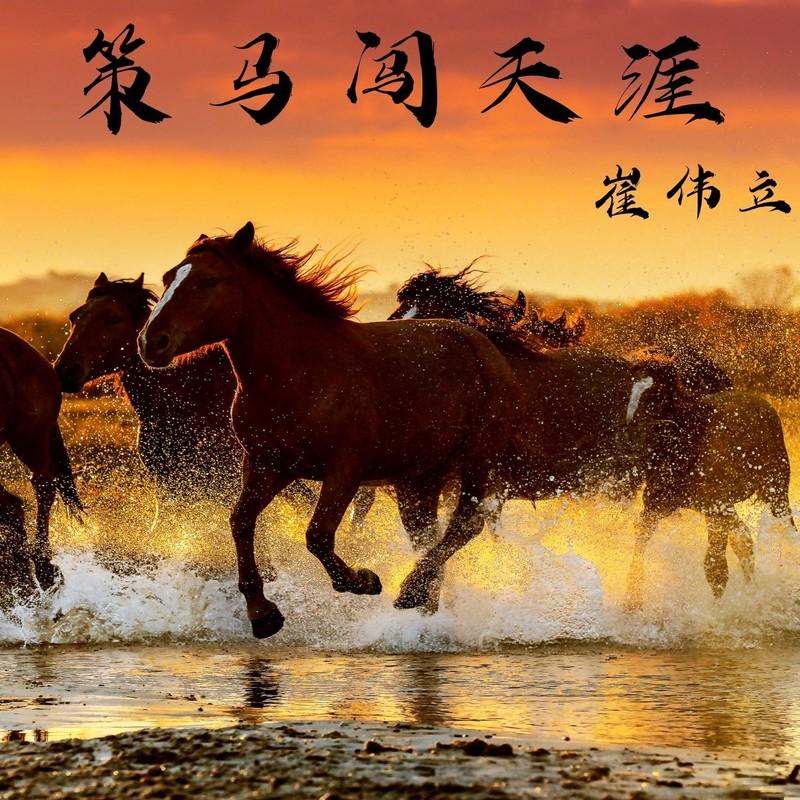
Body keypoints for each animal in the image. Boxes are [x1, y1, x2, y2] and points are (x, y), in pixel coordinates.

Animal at [137, 222, 523, 637]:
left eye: (209, 280)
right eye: (167, 278)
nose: (150, 342)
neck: (301, 375)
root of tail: (482, 344)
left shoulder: (345, 470)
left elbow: (318, 535)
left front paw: (363, 580)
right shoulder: (266, 465)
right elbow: (240, 522)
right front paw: (263, 614)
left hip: (477, 461)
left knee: (466, 525)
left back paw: (409, 591)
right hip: (418, 478)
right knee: (426, 535)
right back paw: (423, 607)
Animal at [387, 265, 777, 606]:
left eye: (430, 319)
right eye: (398, 313)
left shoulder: (479, 480)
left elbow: (453, 535)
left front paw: (412, 594)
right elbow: (431, 539)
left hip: (674, 487)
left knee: (722, 533)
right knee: (736, 533)